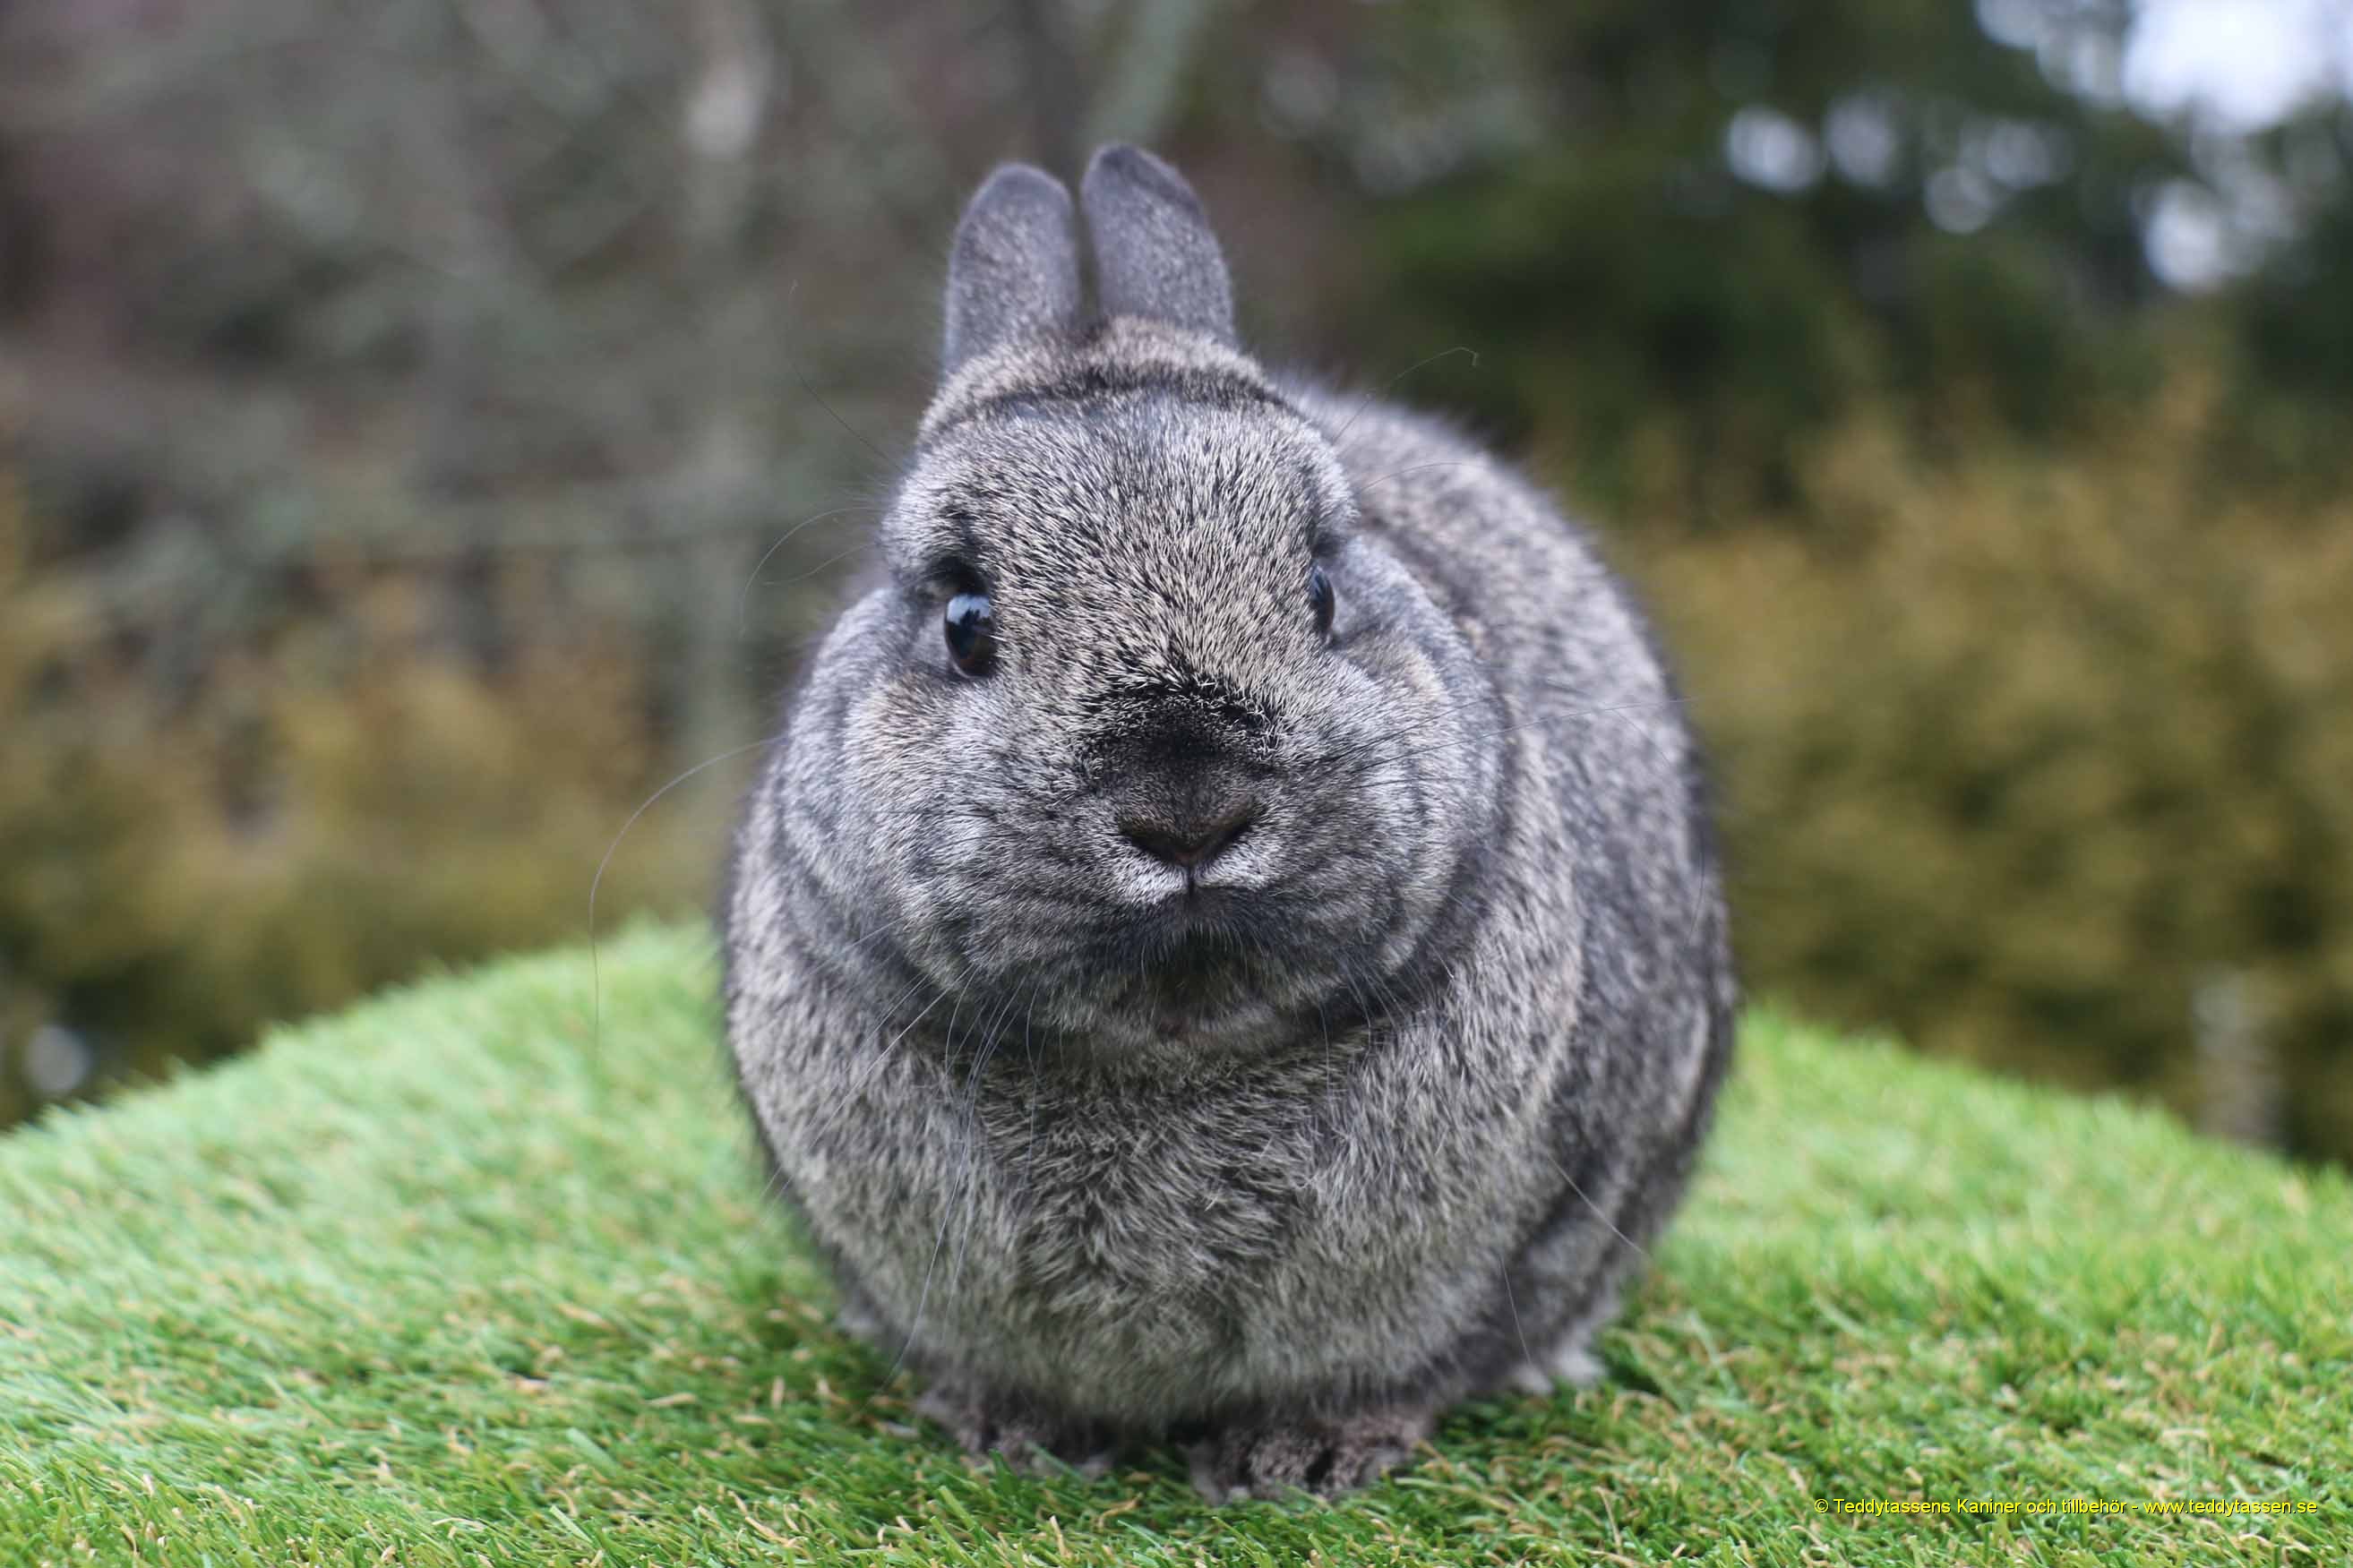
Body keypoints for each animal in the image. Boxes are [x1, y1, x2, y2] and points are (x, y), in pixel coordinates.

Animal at [722, 143, 1735, 1502]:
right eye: (963, 618)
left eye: (1320, 586)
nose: (1188, 811)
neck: (1172, 1043)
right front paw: (1015, 1431)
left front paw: (1305, 1453)